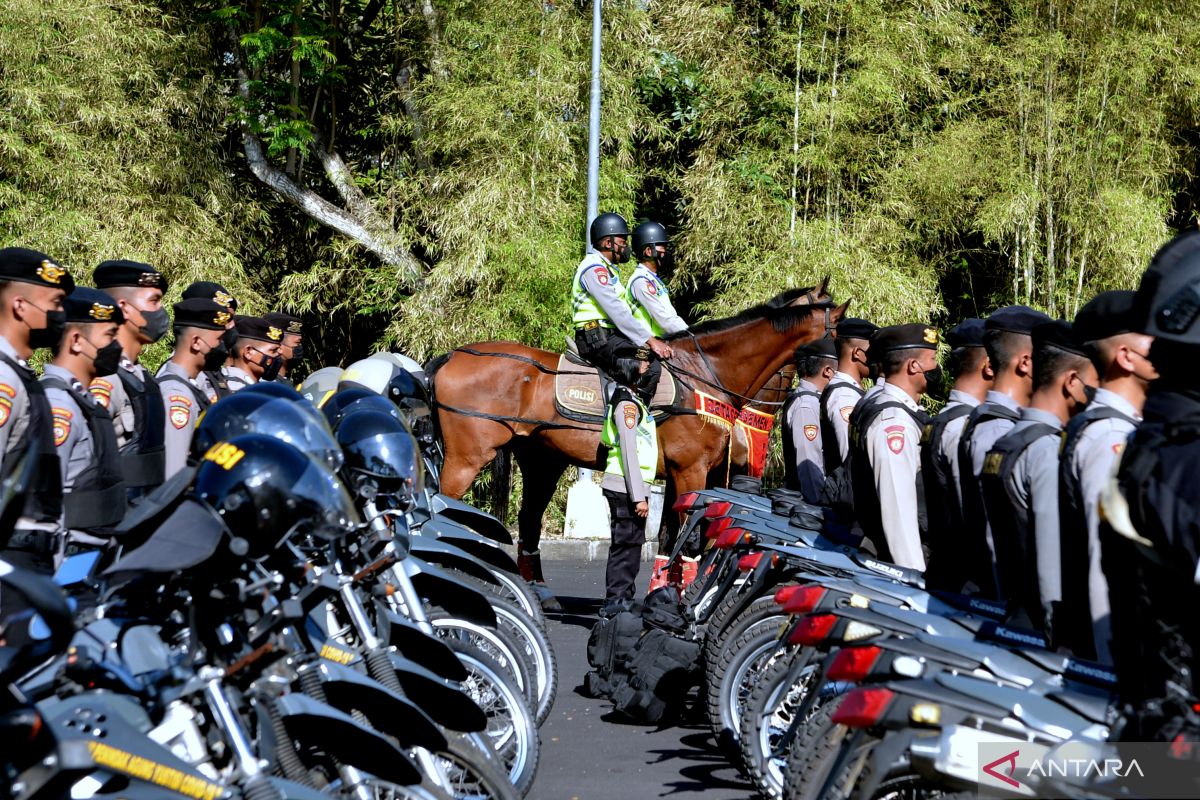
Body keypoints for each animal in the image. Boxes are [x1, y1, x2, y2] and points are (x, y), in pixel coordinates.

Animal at [427, 281, 849, 568]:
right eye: (842, 330)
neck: (705, 375)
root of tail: (452, 355)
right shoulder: (693, 472)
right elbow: (690, 543)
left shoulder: (684, 476)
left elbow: (667, 542)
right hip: (466, 459)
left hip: (540, 461)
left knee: (527, 522)